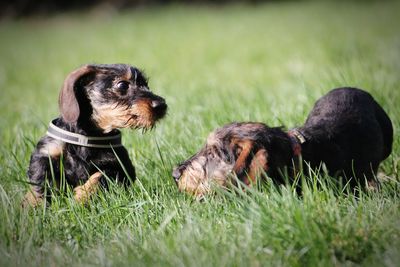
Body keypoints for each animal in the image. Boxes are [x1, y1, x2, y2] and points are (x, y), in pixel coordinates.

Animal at [22, 63, 166, 207]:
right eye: (122, 85)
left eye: (146, 84)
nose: (162, 105)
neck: (87, 137)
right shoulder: (45, 153)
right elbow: (41, 182)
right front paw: (34, 206)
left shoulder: (120, 166)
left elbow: (100, 177)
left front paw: (81, 197)